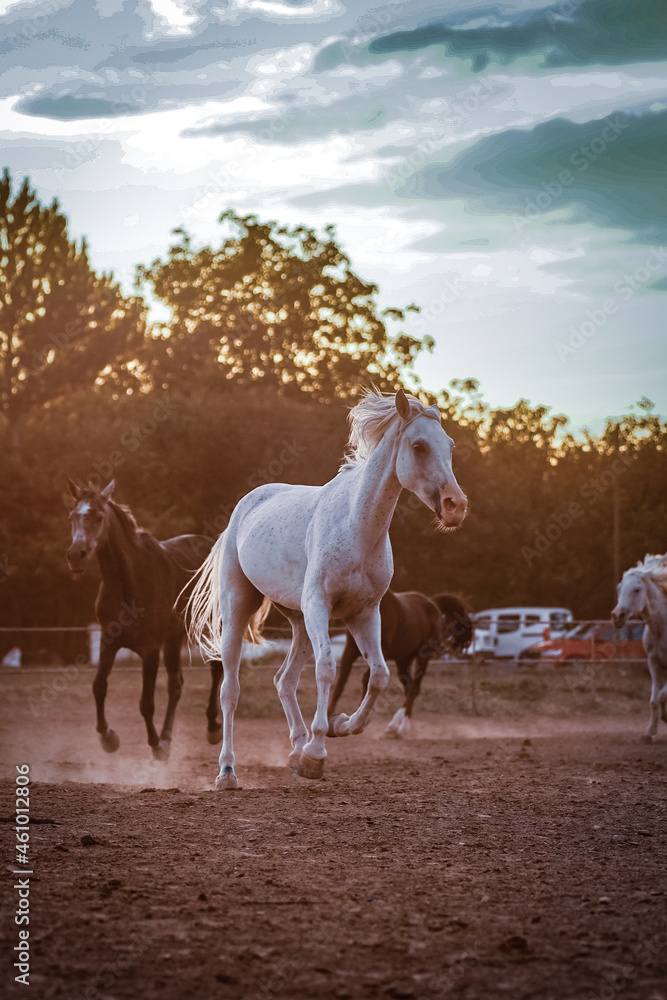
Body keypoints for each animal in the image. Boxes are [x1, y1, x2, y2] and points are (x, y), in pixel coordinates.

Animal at [66, 479, 223, 759]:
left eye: (98, 517)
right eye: (73, 516)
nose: (76, 555)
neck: (131, 581)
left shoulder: (150, 650)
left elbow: (146, 703)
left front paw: (155, 745)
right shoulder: (108, 642)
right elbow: (99, 687)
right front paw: (108, 737)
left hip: (210, 628)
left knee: (217, 669)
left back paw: (212, 727)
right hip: (174, 639)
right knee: (176, 685)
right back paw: (168, 736)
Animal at [188, 387, 467, 789]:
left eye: (450, 445)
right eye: (418, 446)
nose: (456, 506)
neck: (357, 528)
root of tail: (243, 508)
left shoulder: (364, 614)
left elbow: (378, 676)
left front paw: (340, 726)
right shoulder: (320, 606)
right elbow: (327, 670)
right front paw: (317, 753)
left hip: (299, 621)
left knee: (284, 680)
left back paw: (296, 747)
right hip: (240, 608)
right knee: (231, 690)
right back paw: (228, 771)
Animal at [612, 553, 667, 743]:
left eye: (636, 590)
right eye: (619, 588)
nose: (617, 616)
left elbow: (661, 695)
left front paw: (665, 718)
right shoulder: (654, 664)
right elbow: (654, 700)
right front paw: (649, 733)